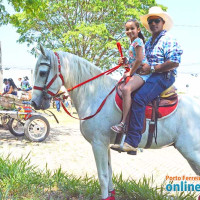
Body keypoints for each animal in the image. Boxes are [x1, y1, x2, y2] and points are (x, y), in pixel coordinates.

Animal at [31, 46, 200, 200]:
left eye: (42, 72)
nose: (33, 102)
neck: (96, 94)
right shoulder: (105, 144)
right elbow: (109, 172)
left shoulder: (98, 143)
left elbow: (103, 176)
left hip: (191, 152)